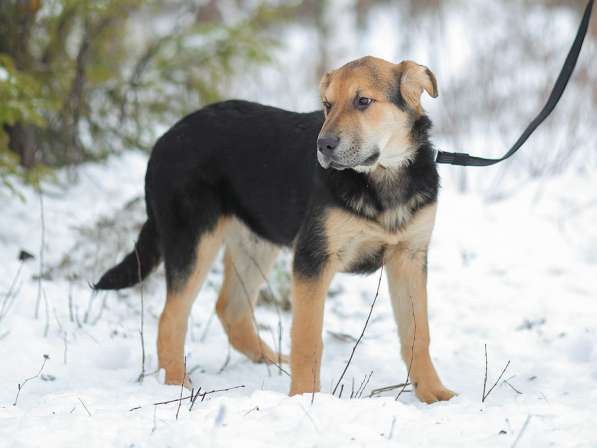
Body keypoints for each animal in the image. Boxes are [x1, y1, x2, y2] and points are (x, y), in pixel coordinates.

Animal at [94, 55, 452, 402]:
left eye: (363, 101)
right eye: (327, 104)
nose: (323, 146)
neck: (382, 177)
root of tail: (162, 141)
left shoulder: (409, 257)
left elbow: (417, 334)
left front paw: (433, 393)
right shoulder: (313, 259)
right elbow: (307, 338)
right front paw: (305, 398)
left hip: (255, 243)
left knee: (231, 309)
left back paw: (270, 361)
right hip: (194, 240)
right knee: (171, 318)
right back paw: (177, 386)